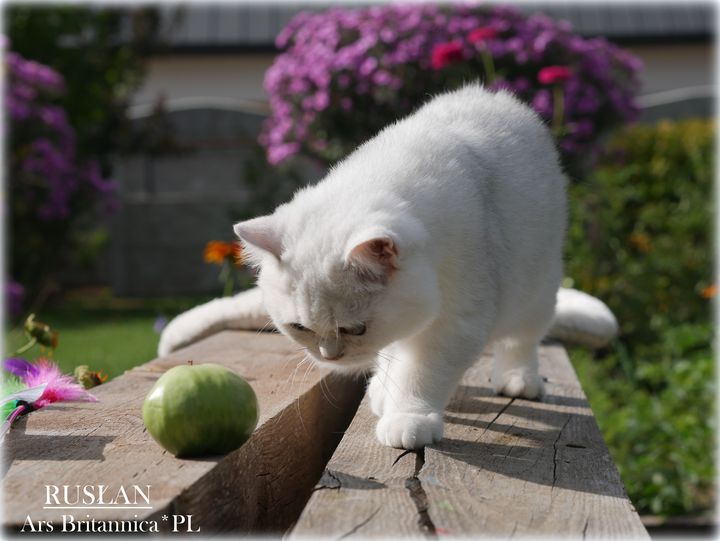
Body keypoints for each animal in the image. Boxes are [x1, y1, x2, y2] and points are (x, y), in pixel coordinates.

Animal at [158, 84, 618, 450]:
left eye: (355, 329)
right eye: (300, 328)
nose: (330, 356)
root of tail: (496, 97)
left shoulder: (455, 319)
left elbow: (422, 372)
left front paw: (408, 418)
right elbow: (396, 355)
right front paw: (386, 392)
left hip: (535, 289)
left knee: (522, 340)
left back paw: (520, 379)